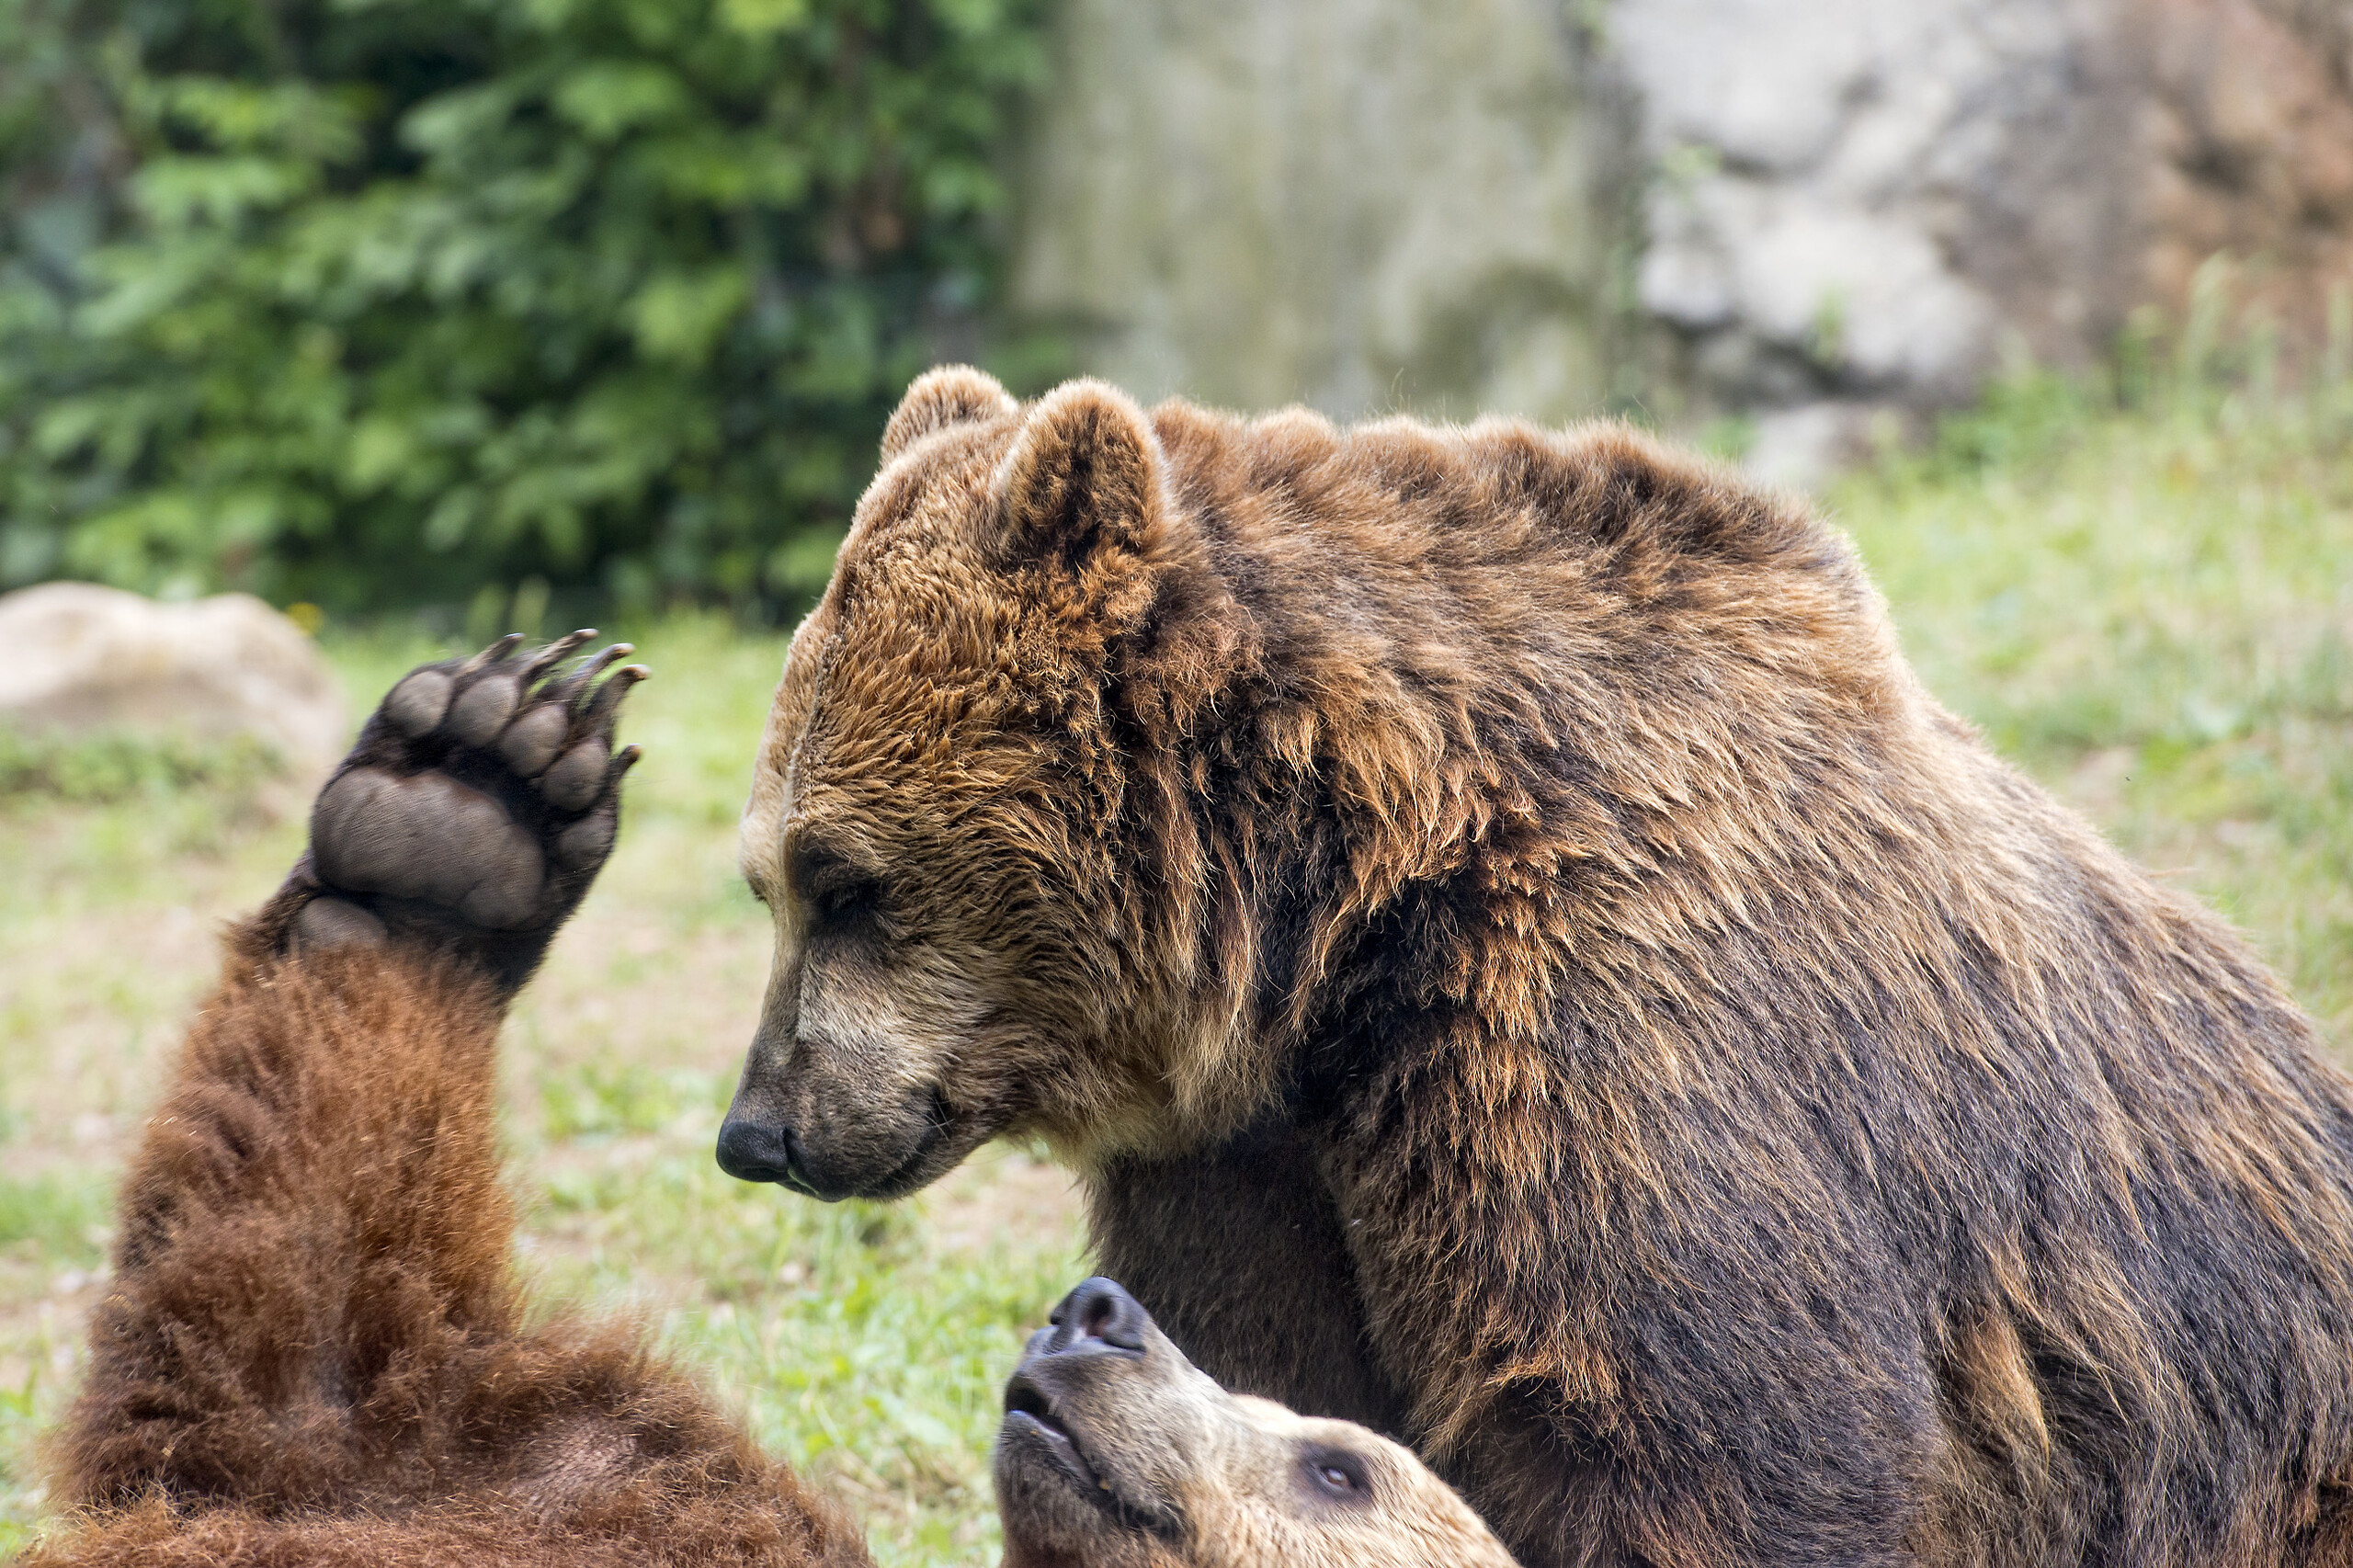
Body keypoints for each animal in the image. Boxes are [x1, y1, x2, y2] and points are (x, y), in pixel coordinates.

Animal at [716, 365, 2353, 1568]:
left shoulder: (1617, 1034)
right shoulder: (1259, 1159)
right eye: (768, 878)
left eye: (844, 881)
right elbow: (1259, 1357)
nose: (757, 1129)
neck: (1339, 925)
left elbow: (1710, 1439)